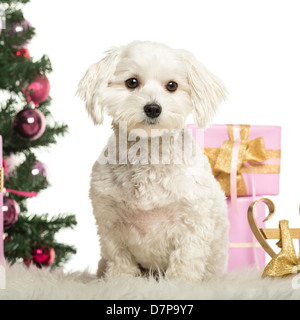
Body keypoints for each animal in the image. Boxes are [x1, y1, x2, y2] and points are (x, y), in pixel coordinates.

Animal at [77, 40, 227, 282]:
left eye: (172, 86)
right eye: (132, 82)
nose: (153, 108)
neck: (147, 154)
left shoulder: (193, 223)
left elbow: (185, 261)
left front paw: (179, 283)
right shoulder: (110, 223)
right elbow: (119, 258)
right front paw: (119, 280)